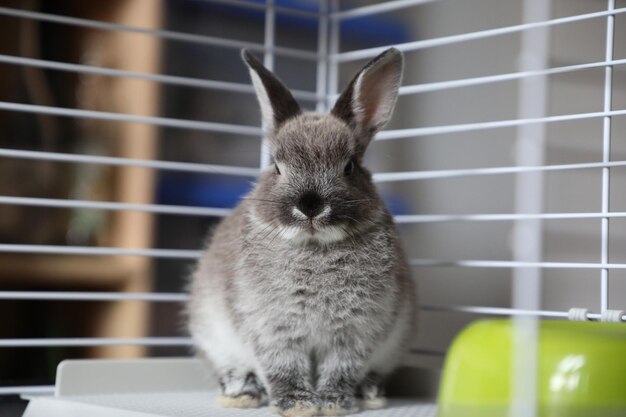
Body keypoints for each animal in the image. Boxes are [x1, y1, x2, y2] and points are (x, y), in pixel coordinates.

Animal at [188, 46, 416, 416]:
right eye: (276, 166)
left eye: (349, 166)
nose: (310, 205)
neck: (314, 246)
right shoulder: (273, 330)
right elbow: (284, 368)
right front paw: (298, 405)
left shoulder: (354, 334)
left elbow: (340, 369)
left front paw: (334, 403)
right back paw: (243, 393)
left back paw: (369, 393)